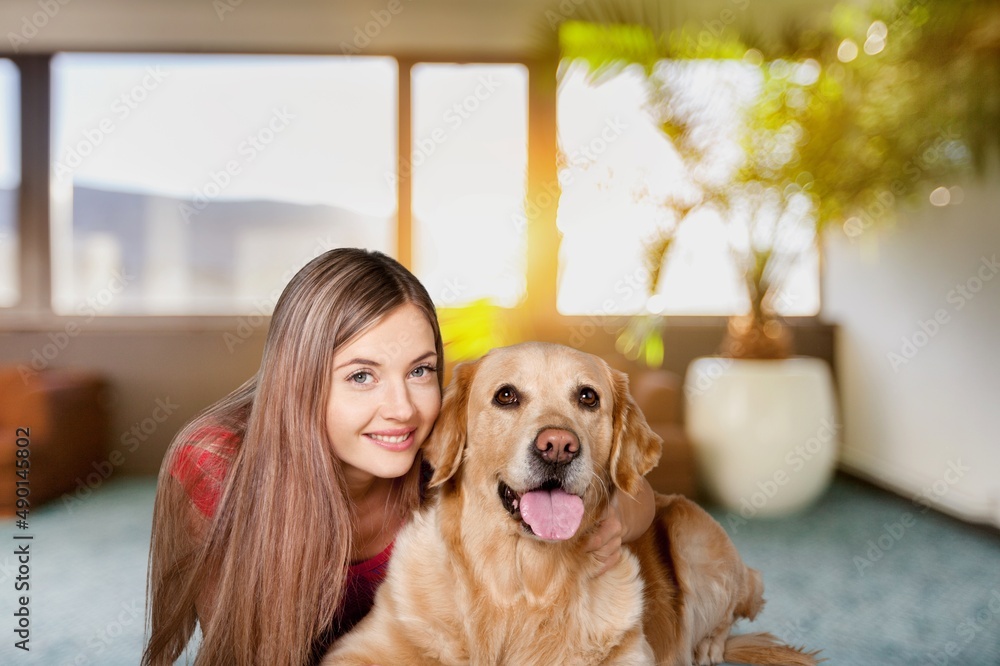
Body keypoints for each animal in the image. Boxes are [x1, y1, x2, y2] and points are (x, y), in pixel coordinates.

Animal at [322, 342, 820, 664]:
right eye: (506, 395)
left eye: (587, 397)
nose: (558, 447)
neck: (521, 587)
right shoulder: (360, 648)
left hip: (692, 531)